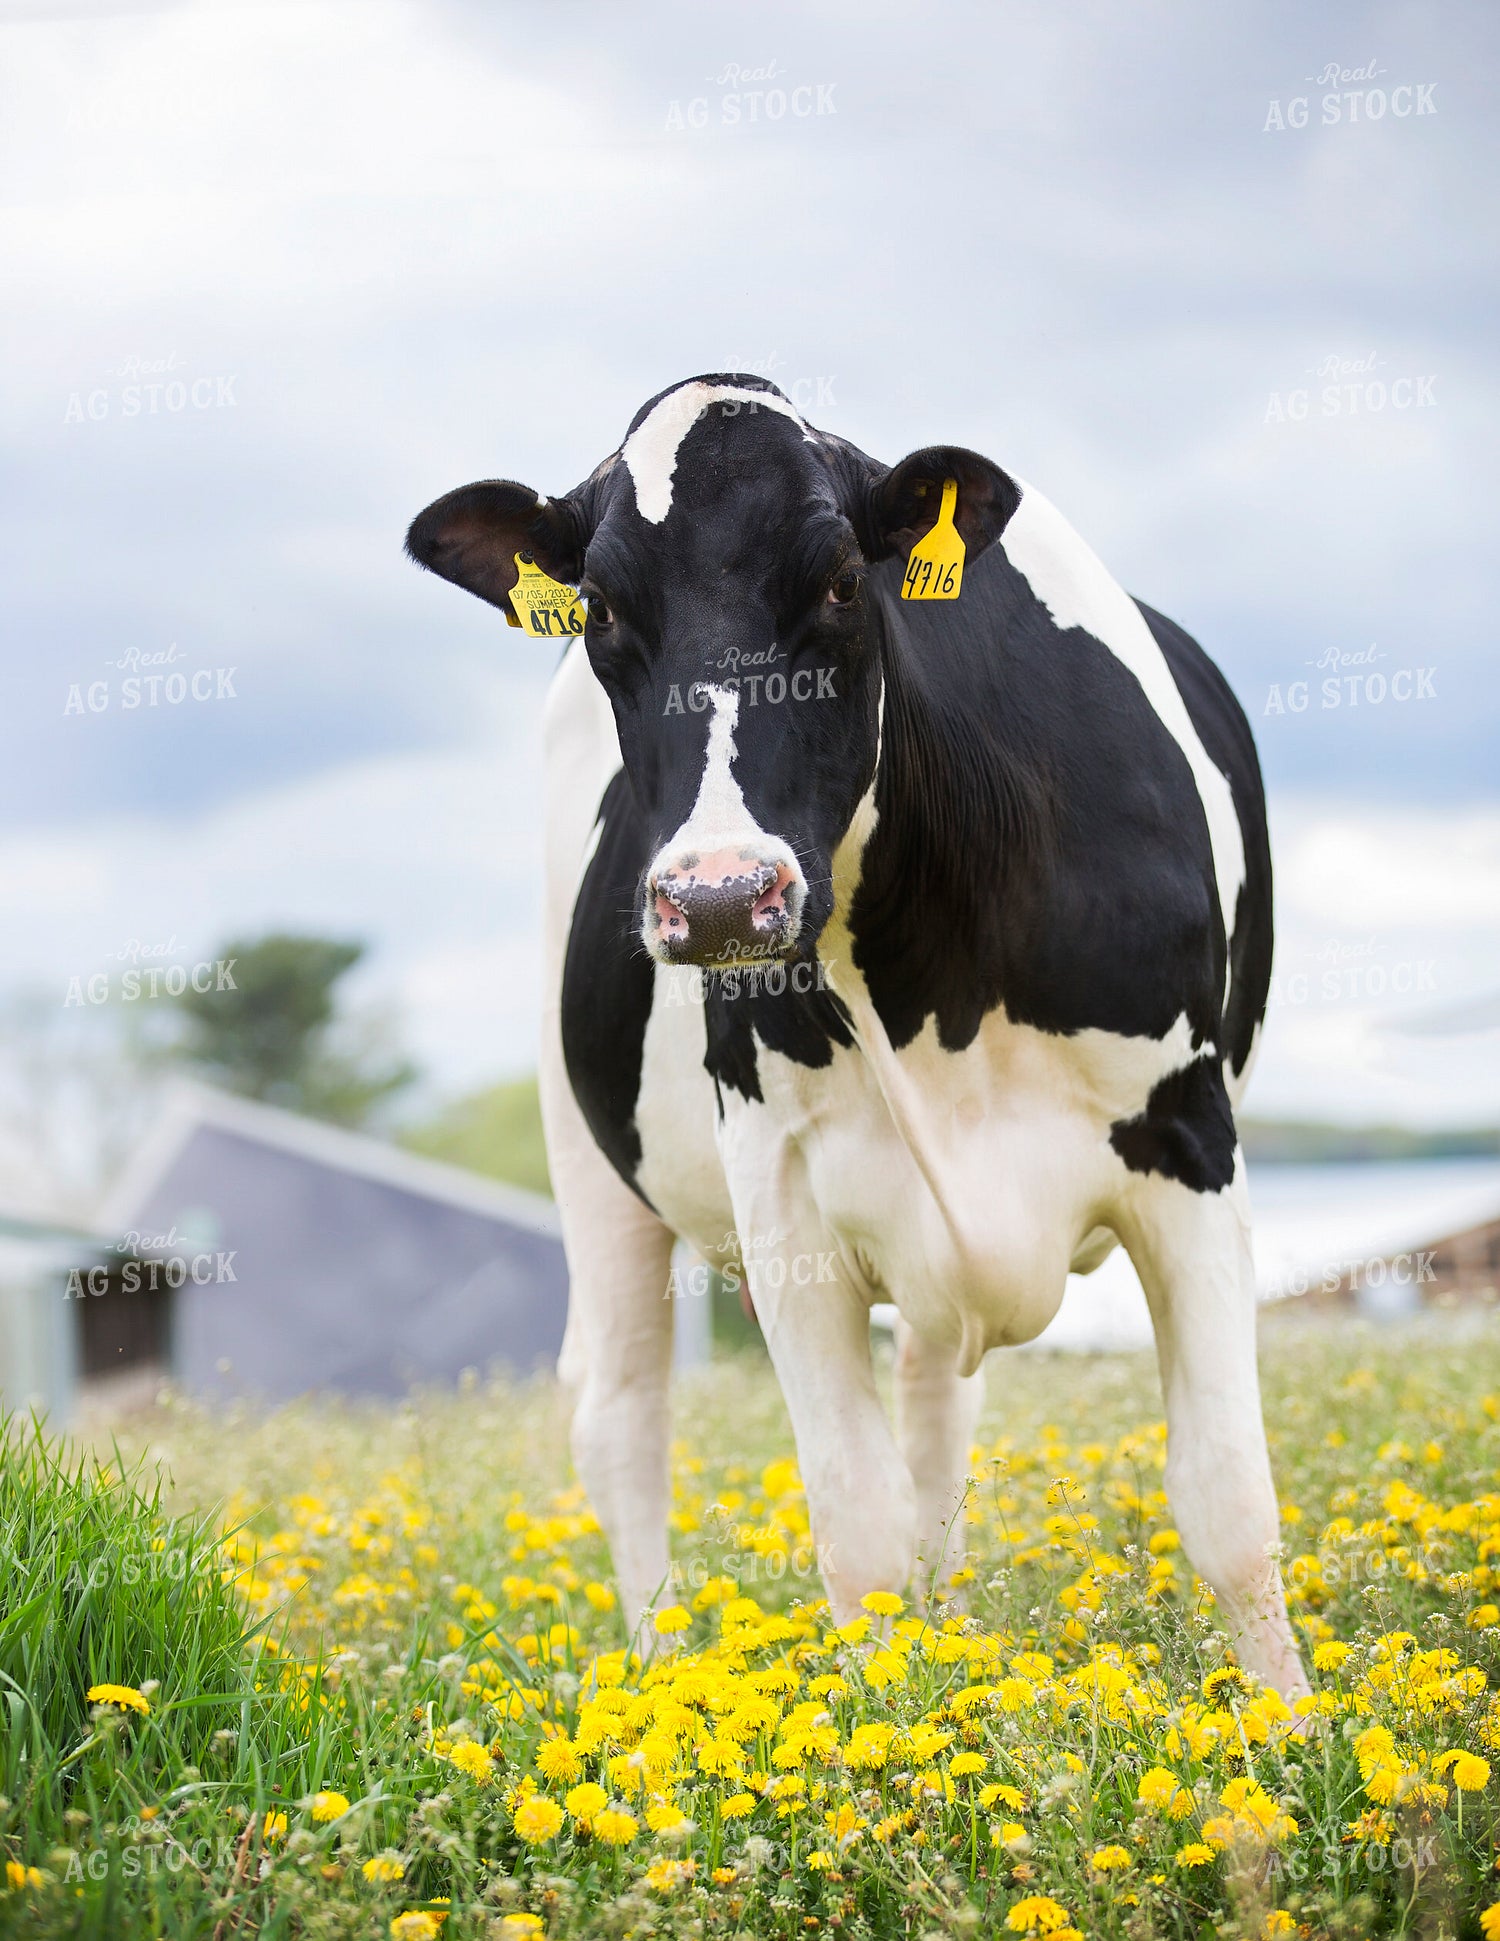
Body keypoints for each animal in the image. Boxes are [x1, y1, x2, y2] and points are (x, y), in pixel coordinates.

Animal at [406, 373, 1309, 1698]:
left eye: (842, 579)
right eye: (602, 606)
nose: (721, 898)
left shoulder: (1191, 1139)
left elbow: (1230, 1501)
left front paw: (1291, 1729)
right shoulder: (781, 1193)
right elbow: (857, 1528)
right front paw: (888, 1732)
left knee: (935, 1402)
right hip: (587, 1150)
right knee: (620, 1411)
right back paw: (661, 1663)